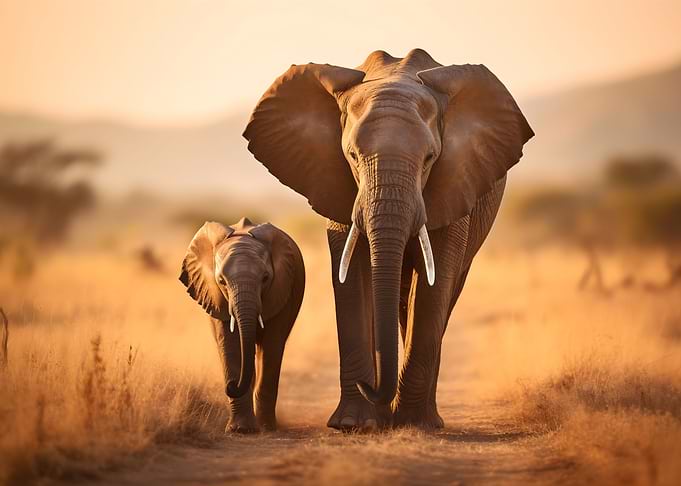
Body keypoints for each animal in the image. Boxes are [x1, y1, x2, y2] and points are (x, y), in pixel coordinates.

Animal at [179, 217, 305, 432]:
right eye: (221, 281)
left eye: (265, 278)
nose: (230, 385)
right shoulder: (216, 298)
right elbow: (229, 345)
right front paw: (241, 430)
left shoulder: (282, 290)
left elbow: (272, 345)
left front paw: (266, 428)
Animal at [243, 49, 533, 430]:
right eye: (352, 156)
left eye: (429, 159)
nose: (371, 386)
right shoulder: (335, 184)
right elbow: (351, 275)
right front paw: (353, 424)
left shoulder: (455, 183)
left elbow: (435, 281)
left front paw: (411, 423)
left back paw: (423, 416)